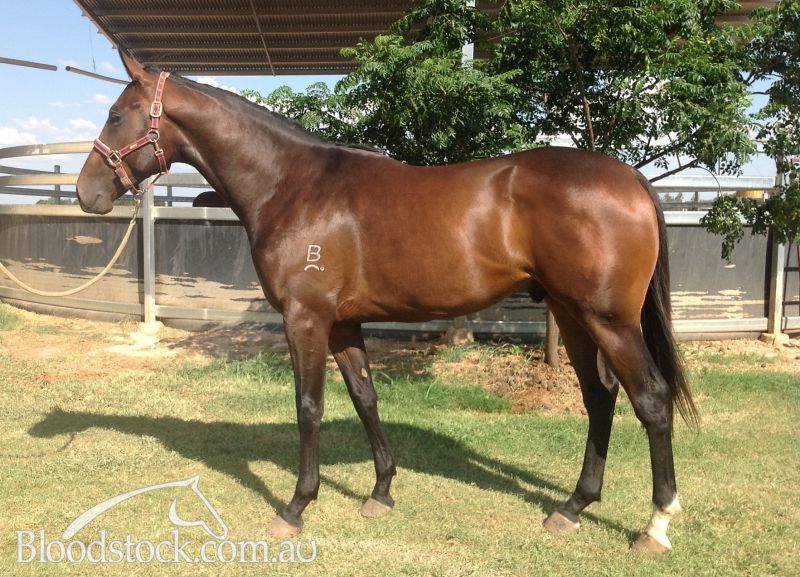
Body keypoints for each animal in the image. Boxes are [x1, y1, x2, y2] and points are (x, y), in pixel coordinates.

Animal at [76, 53, 698, 554]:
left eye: (116, 114)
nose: (88, 193)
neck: (293, 186)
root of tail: (632, 180)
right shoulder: (343, 324)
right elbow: (365, 399)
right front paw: (380, 493)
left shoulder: (306, 319)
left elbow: (309, 407)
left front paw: (296, 508)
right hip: (571, 315)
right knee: (600, 399)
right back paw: (571, 509)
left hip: (608, 320)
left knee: (651, 401)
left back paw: (656, 525)